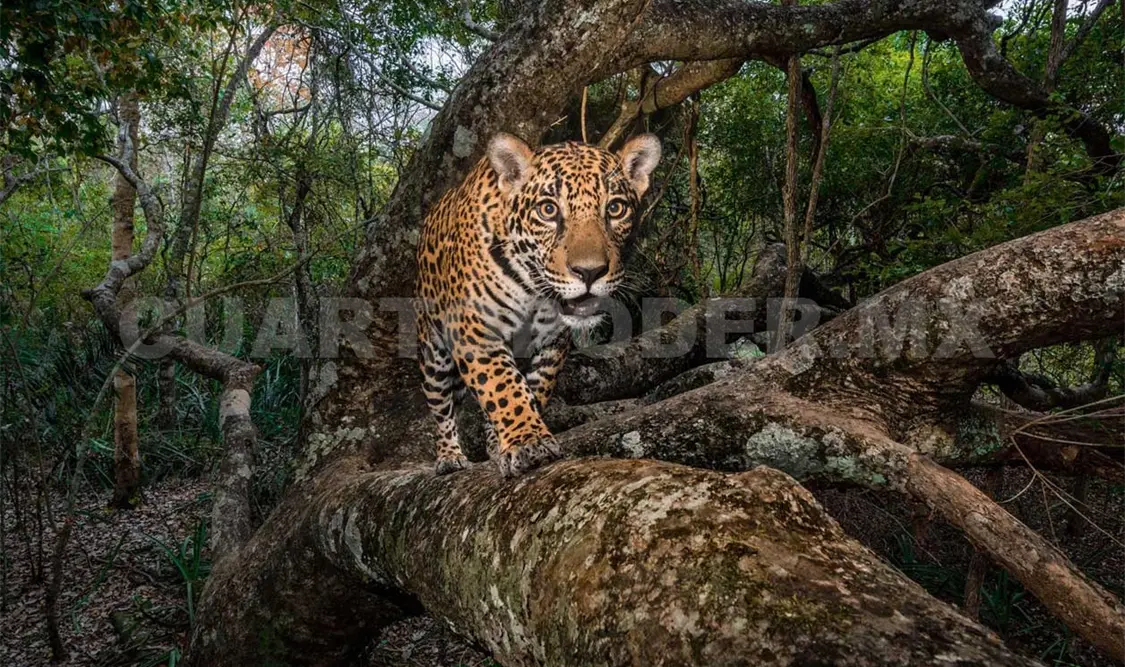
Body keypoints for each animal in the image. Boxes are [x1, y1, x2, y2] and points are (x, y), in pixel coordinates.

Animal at [415, 132, 661, 477]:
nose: (590, 272)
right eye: (548, 210)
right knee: (441, 405)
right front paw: (527, 442)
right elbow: (502, 387)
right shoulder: (477, 333)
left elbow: (533, 389)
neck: (533, 289)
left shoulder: (552, 341)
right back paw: (449, 456)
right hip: (433, 353)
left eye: (615, 208)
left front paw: (518, 437)